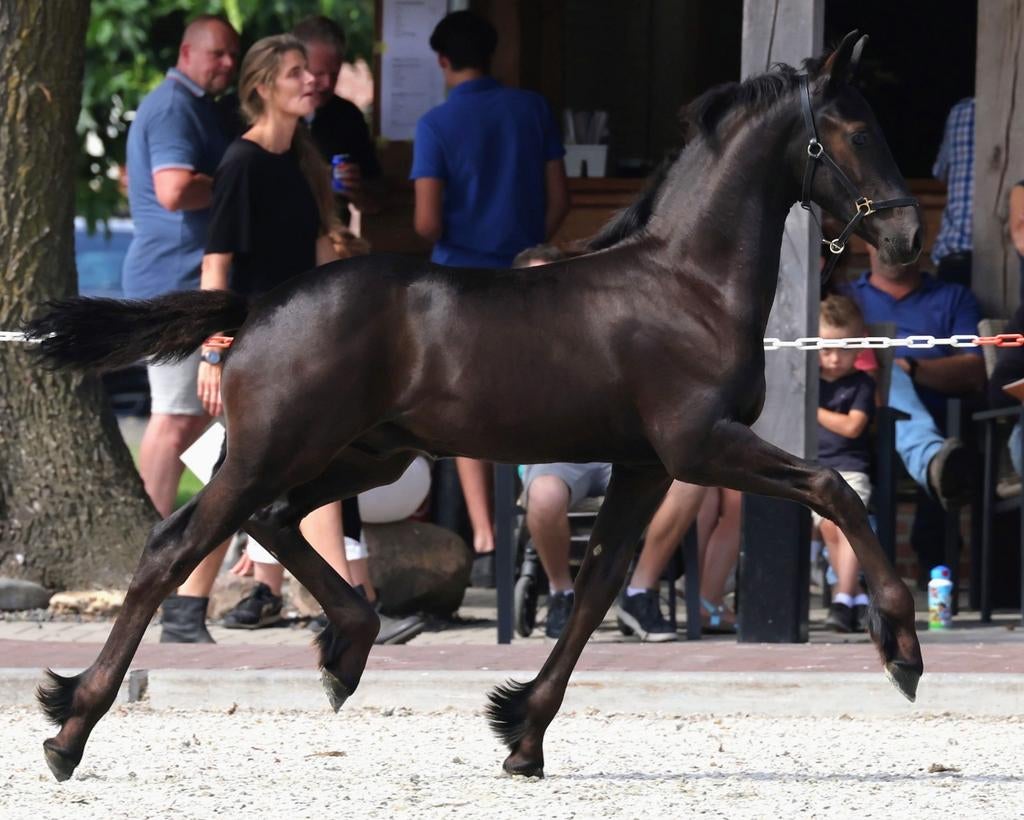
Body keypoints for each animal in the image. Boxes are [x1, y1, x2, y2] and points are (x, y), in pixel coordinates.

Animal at [27, 31, 923, 782]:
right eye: (851, 131)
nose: (910, 237)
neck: (688, 284)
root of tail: (256, 306)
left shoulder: (643, 466)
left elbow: (595, 589)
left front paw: (521, 731)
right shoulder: (699, 445)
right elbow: (834, 490)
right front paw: (901, 648)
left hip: (365, 453)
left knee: (275, 520)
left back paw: (346, 650)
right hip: (272, 449)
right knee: (173, 547)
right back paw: (71, 725)